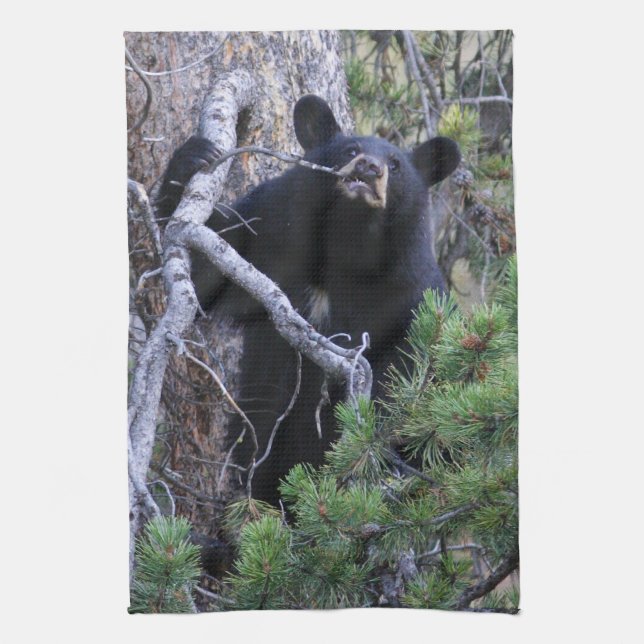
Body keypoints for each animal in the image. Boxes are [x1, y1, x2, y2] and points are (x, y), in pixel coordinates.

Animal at [158, 95, 461, 506]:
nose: (369, 167)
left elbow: (403, 370)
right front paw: (191, 158)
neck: (346, 243)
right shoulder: (271, 240)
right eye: (351, 150)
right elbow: (210, 276)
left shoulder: (409, 296)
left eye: (396, 165)